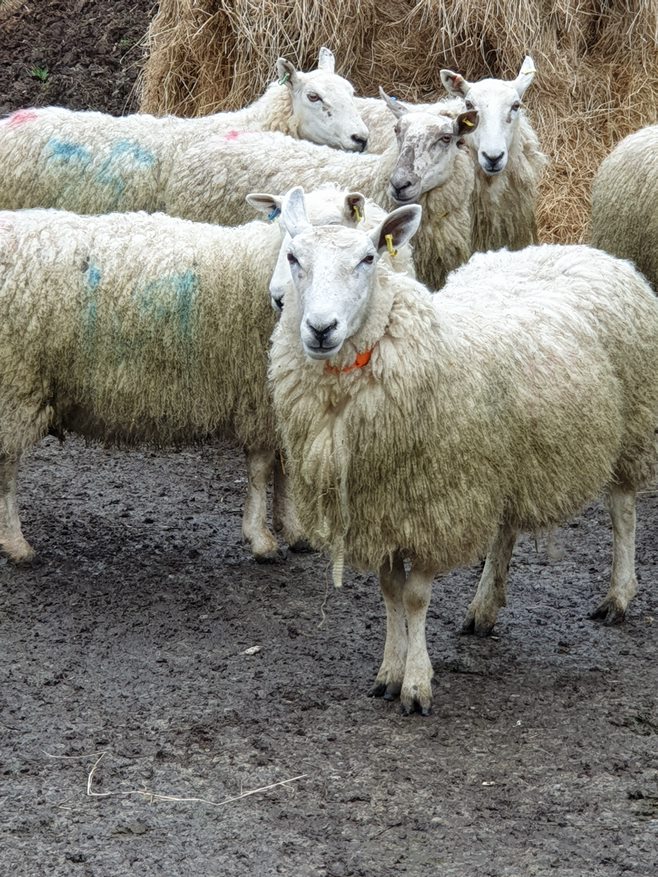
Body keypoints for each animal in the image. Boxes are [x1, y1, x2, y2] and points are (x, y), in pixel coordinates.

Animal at [0, 187, 368, 564]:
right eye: (283, 231)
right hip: (15, 383)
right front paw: (261, 538)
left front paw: (294, 531)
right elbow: (261, 468)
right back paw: (15, 543)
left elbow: (285, 468)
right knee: (7, 467)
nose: (278, 296)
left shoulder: (284, 401)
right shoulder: (258, 399)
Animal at [266, 188, 656, 716]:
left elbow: (414, 598)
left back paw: (619, 596)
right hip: (506, 457)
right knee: (505, 530)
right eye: (293, 257)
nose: (321, 328)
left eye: (368, 259)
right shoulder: (381, 509)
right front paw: (389, 671)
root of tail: (587, 250)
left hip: (630, 426)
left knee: (623, 513)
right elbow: (389, 592)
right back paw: (484, 607)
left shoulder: (436, 505)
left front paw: (416, 684)